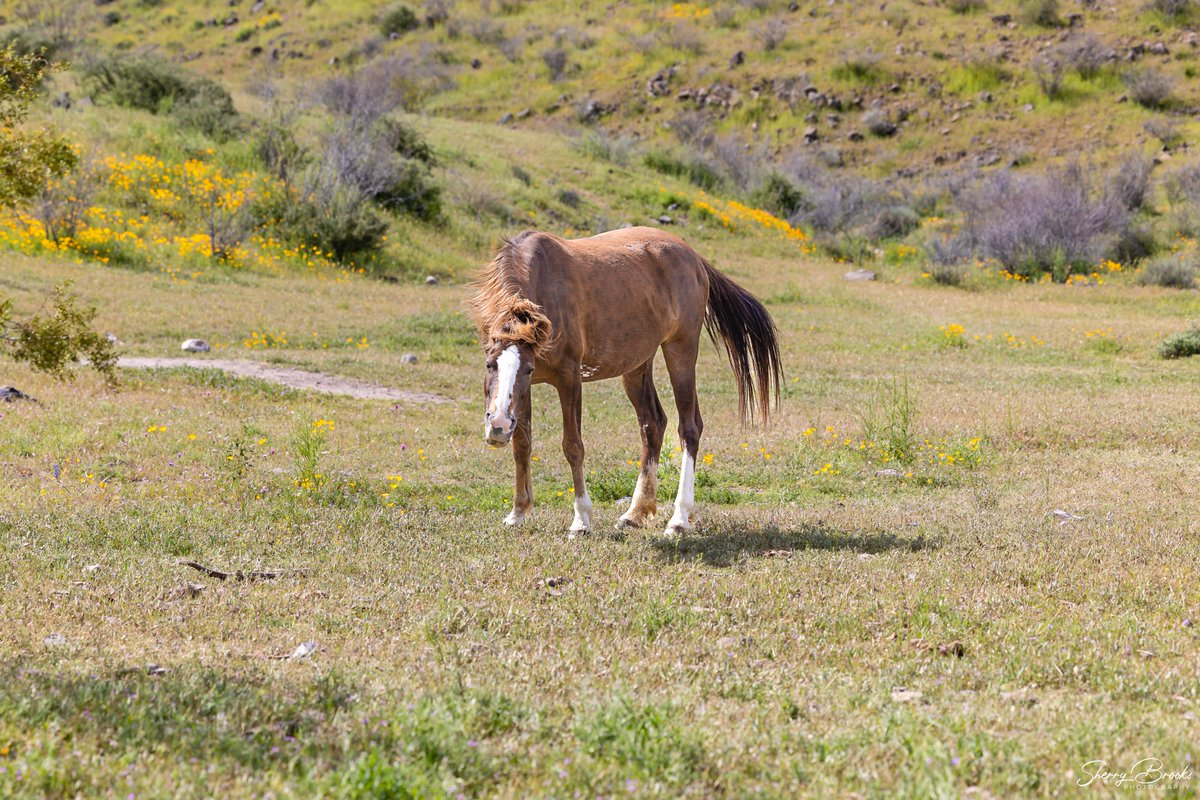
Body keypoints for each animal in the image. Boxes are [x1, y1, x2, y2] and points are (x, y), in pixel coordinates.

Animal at [463, 225, 782, 537]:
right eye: (490, 364)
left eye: (528, 369)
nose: (497, 425)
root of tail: (693, 257)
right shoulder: (523, 395)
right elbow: (522, 445)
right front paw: (518, 513)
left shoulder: (568, 379)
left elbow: (573, 447)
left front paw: (581, 520)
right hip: (637, 365)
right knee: (653, 424)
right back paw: (635, 513)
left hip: (681, 349)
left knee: (689, 428)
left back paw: (679, 519)